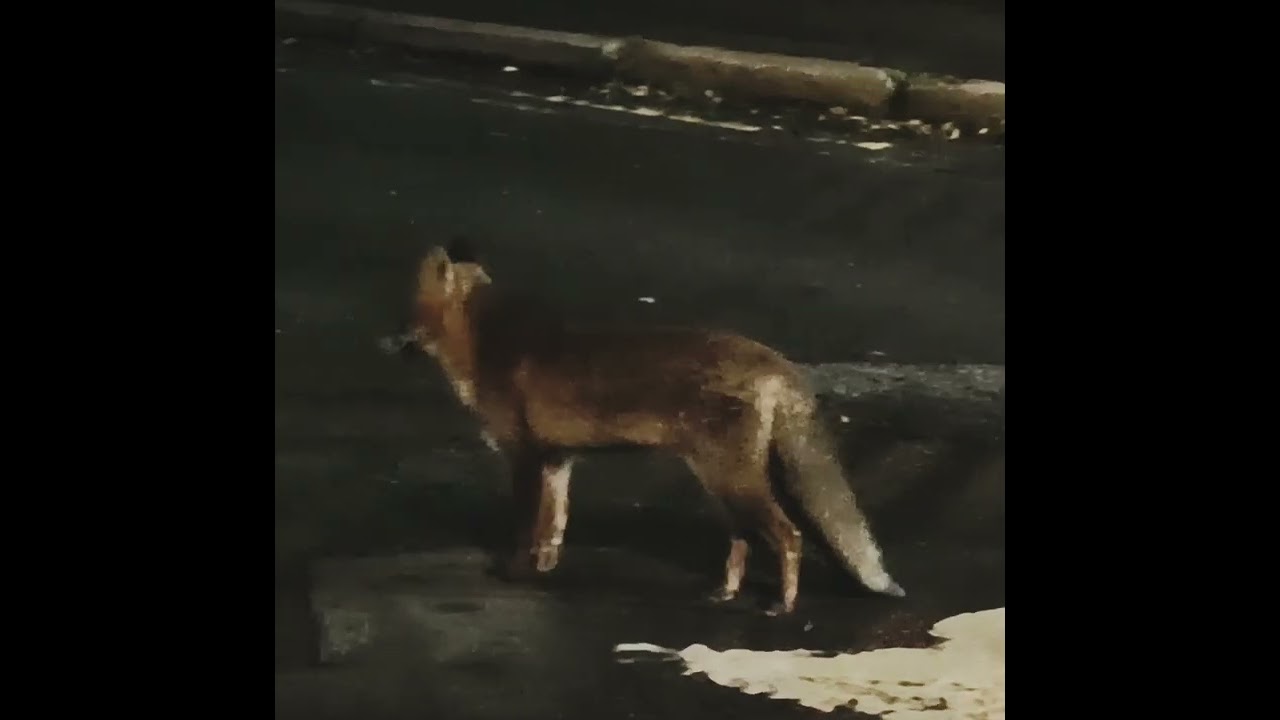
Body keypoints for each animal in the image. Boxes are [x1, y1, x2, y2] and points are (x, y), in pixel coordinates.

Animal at [382, 242, 905, 616]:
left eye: (405, 313)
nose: (381, 340)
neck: (487, 348)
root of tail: (773, 358)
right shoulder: (558, 459)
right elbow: (554, 527)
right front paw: (544, 570)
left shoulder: (525, 457)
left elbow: (526, 526)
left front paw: (514, 573)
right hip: (722, 482)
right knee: (744, 539)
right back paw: (726, 593)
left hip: (731, 479)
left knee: (788, 534)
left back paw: (783, 604)